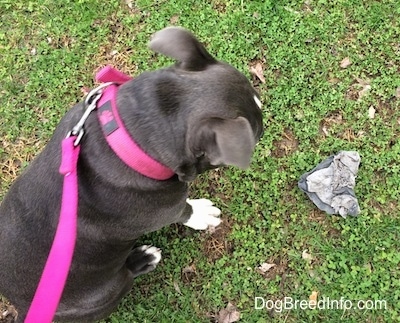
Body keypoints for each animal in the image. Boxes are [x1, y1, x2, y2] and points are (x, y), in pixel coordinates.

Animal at [0, 26, 262, 322]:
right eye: (256, 132)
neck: (127, 137)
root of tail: (21, 307)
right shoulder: (164, 210)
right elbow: (185, 210)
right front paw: (202, 214)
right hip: (106, 290)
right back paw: (143, 259)